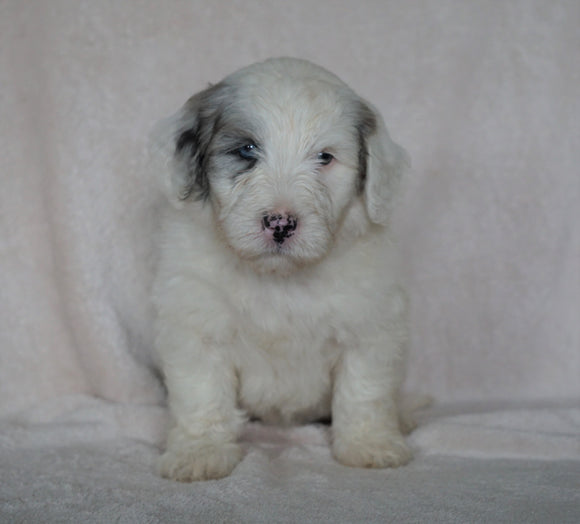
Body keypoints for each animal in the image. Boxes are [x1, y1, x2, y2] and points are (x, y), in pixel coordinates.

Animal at [152, 56, 410, 478]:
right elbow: (202, 394)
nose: (281, 224)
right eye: (246, 150)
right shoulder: (198, 326)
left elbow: (364, 389)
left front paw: (368, 444)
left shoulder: (369, 328)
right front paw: (200, 451)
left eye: (325, 157)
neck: (279, 279)